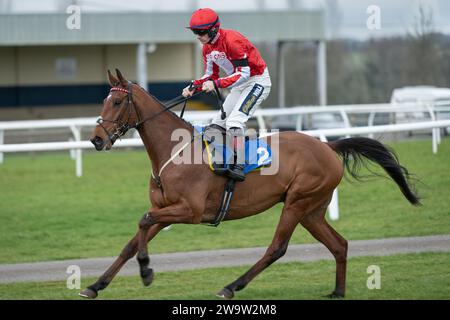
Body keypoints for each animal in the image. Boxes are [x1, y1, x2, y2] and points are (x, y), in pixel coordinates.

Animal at [79, 69, 420, 298]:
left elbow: (143, 220)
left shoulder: (189, 211)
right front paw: (95, 285)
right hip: (312, 210)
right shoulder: (166, 209)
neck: (174, 151)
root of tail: (328, 146)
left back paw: (231, 286)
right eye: (105, 100)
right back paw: (337, 291)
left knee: (277, 248)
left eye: (118, 101)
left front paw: (147, 269)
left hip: (298, 202)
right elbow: (133, 238)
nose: (96, 140)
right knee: (339, 244)